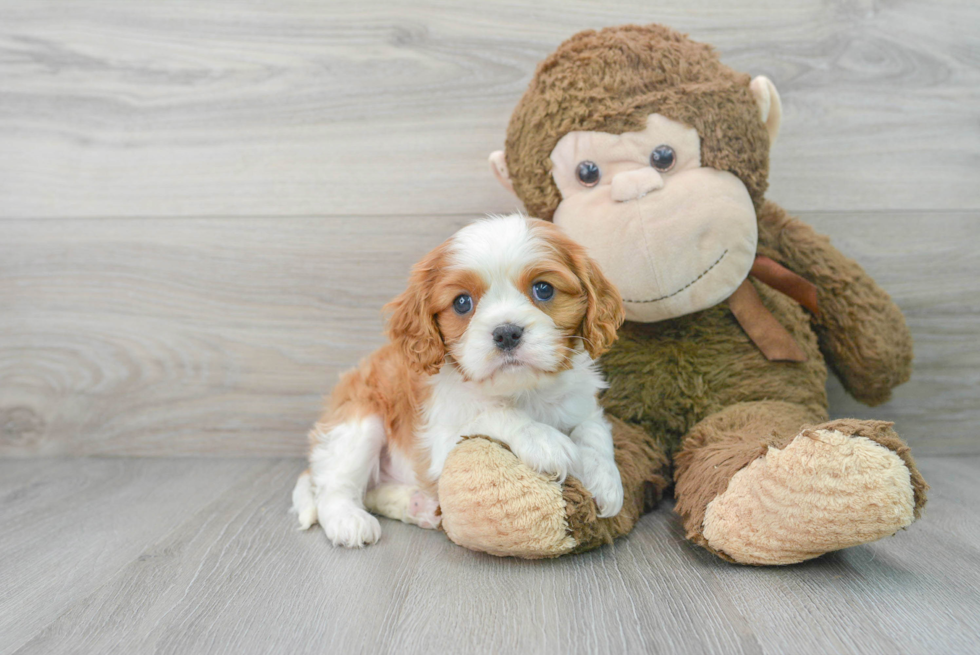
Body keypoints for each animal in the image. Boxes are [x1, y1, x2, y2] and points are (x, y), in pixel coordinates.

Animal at [292, 214, 628, 548]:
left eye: (543, 289)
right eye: (462, 303)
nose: (506, 333)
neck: (522, 390)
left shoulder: (583, 404)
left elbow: (594, 432)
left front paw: (604, 478)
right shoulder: (442, 442)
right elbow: (496, 414)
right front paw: (545, 440)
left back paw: (418, 506)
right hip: (358, 422)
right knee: (333, 487)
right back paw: (348, 520)